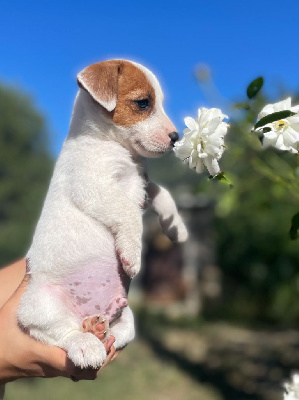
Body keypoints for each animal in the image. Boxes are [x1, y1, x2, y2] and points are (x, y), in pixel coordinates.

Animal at [17, 59, 189, 368]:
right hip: (38, 304)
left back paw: (100, 329)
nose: (175, 137)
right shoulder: (95, 187)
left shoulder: (141, 185)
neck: (109, 143)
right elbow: (129, 214)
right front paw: (132, 255)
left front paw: (175, 227)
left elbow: (164, 194)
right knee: (59, 332)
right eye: (143, 103)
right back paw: (86, 343)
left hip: (126, 315)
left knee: (121, 333)